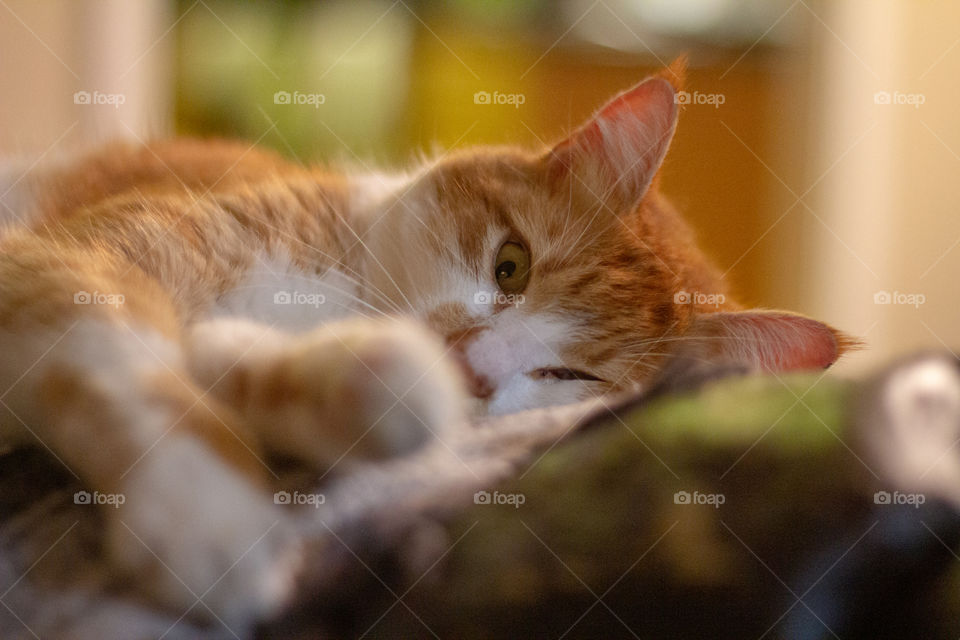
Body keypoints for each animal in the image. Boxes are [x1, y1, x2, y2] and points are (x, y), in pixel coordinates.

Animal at [0, 62, 856, 628]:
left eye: (572, 377)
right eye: (511, 265)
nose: (471, 365)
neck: (337, 288)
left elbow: (254, 368)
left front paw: (364, 384)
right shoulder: (79, 263)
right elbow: (119, 359)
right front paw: (204, 508)